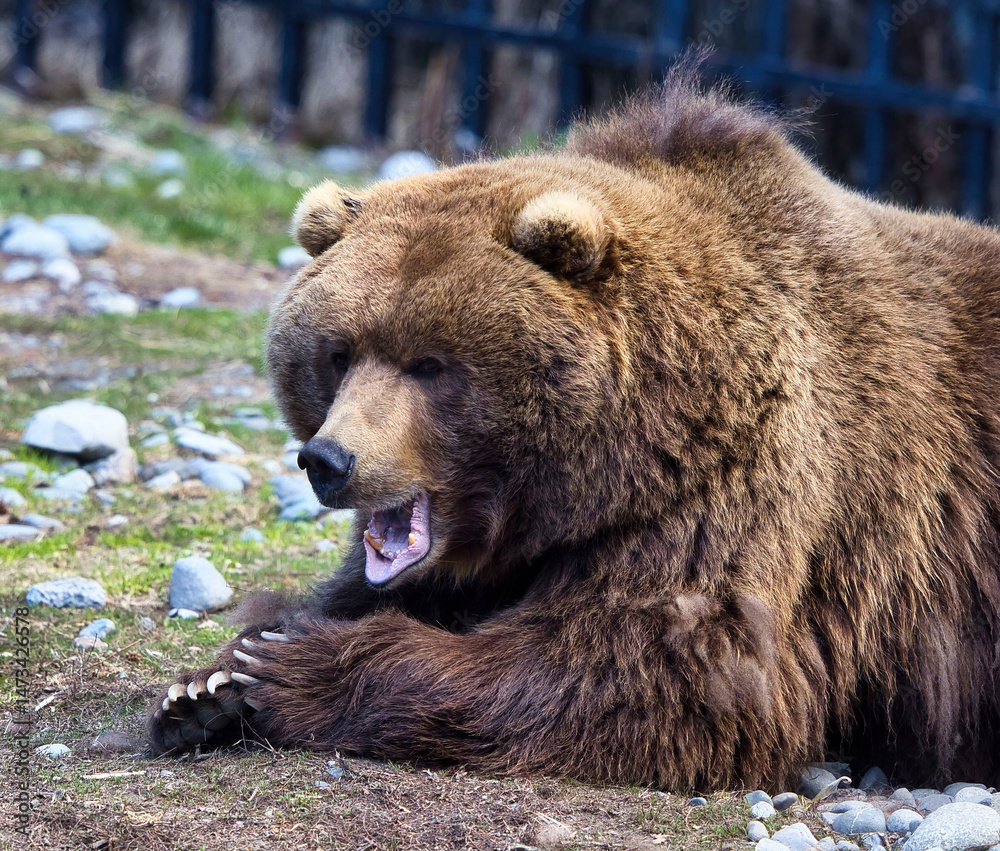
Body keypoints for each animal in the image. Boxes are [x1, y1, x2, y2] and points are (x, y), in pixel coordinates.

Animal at [148, 72, 1000, 792]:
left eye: (431, 363)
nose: (329, 459)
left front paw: (288, 667)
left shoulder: (737, 487)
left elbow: (658, 671)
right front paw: (208, 683)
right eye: (339, 352)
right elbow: (357, 590)